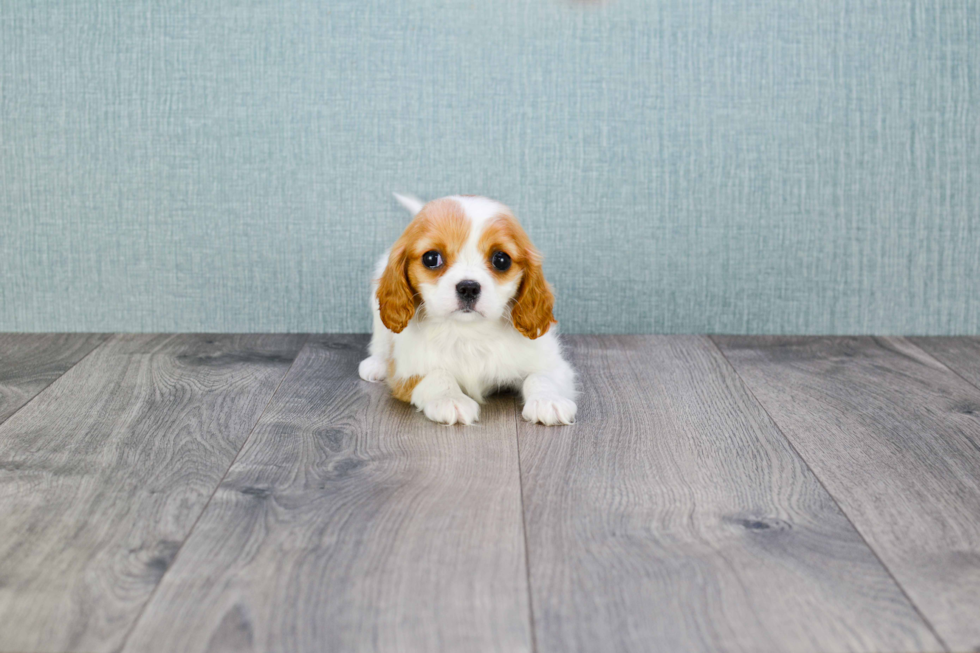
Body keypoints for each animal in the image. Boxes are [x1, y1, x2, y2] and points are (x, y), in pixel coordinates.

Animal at [358, 192, 576, 428]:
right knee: (381, 341)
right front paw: (450, 399)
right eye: (431, 258)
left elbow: (541, 376)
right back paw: (376, 364)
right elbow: (436, 374)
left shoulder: (551, 362)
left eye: (501, 259)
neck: (469, 331)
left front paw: (548, 401)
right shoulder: (406, 371)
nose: (468, 287)